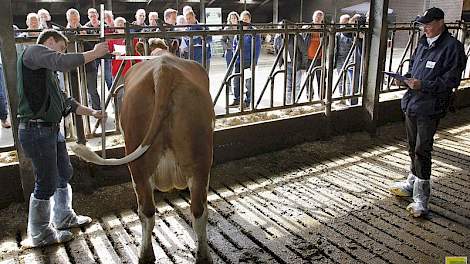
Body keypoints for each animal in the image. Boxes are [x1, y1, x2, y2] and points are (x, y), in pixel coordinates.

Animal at [72, 50, 214, 264]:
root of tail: (164, 70)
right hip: (199, 161)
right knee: (197, 210)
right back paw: (203, 256)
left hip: (140, 165)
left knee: (148, 211)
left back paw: (146, 254)